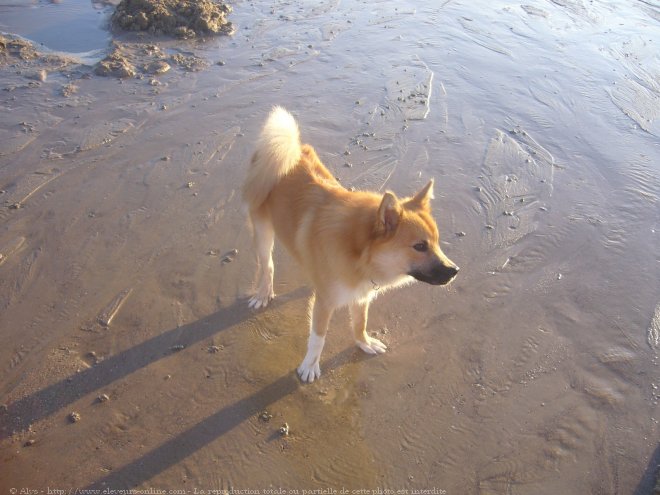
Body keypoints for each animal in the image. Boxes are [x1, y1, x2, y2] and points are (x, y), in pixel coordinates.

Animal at [242, 106, 458, 382]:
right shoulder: (324, 303)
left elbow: (360, 322)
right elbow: (318, 338)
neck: (360, 254)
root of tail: (287, 149)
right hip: (263, 232)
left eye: (437, 243)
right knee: (267, 266)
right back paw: (264, 292)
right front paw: (310, 366)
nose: (455, 271)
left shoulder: (362, 295)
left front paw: (363, 342)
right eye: (420, 246)